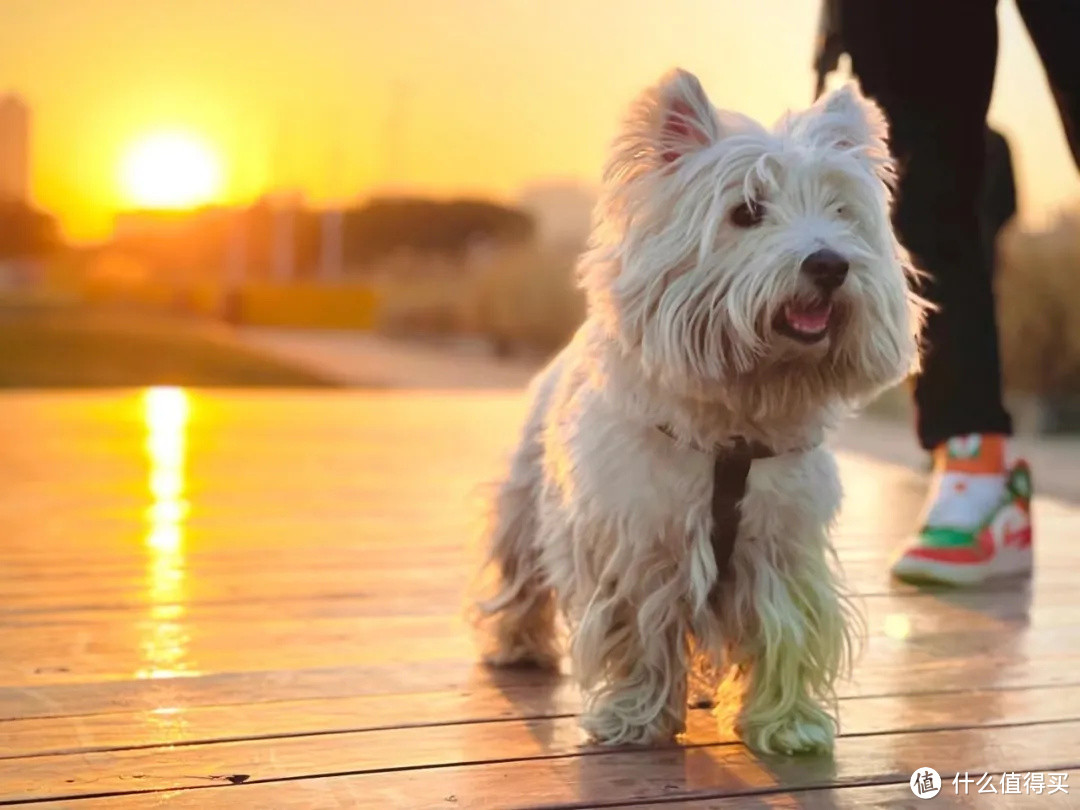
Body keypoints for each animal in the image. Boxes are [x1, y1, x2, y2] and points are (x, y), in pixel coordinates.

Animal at [477, 68, 924, 756]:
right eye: (746, 211)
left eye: (840, 211)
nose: (829, 263)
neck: (736, 418)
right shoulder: (639, 539)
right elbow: (638, 629)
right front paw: (632, 717)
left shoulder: (782, 546)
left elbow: (786, 629)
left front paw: (788, 725)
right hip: (526, 494)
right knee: (521, 571)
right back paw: (518, 646)